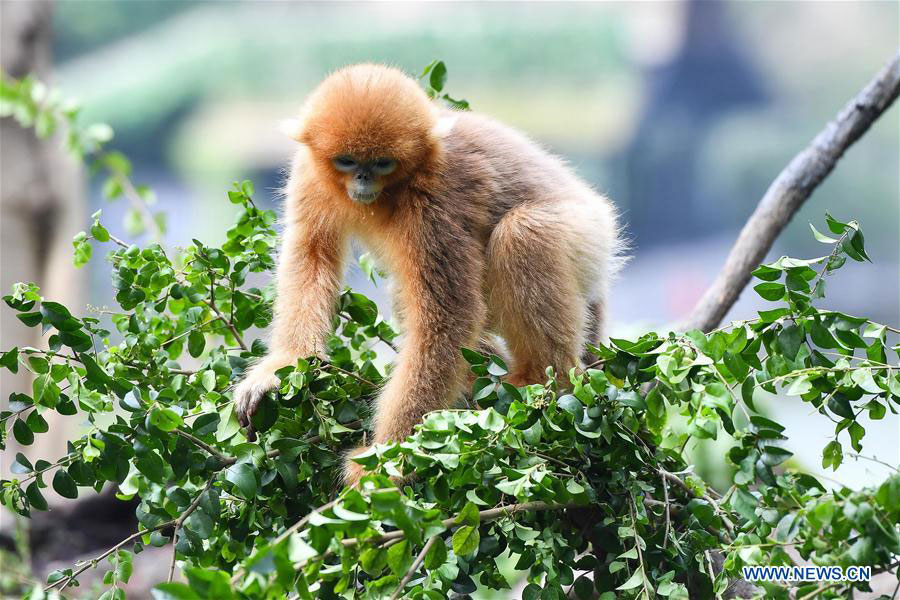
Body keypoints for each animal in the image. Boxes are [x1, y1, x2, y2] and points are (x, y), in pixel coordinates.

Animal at [232, 63, 624, 486]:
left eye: (382, 163)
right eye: (347, 161)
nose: (363, 181)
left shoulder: (434, 197)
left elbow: (450, 317)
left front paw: (384, 463)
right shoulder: (309, 173)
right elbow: (311, 256)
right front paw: (279, 369)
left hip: (588, 234)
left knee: (523, 234)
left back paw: (541, 383)